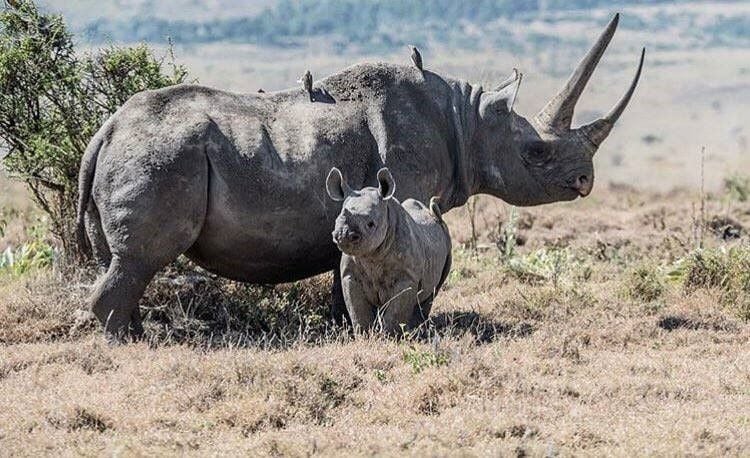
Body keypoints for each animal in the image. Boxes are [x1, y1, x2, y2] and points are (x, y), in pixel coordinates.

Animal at [324, 165, 452, 332]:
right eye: (336, 220)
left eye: (370, 224)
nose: (343, 235)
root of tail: (433, 216)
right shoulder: (349, 274)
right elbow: (357, 309)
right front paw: (365, 333)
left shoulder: (407, 277)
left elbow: (395, 312)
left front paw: (389, 334)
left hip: (446, 240)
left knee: (432, 291)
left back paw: (416, 328)